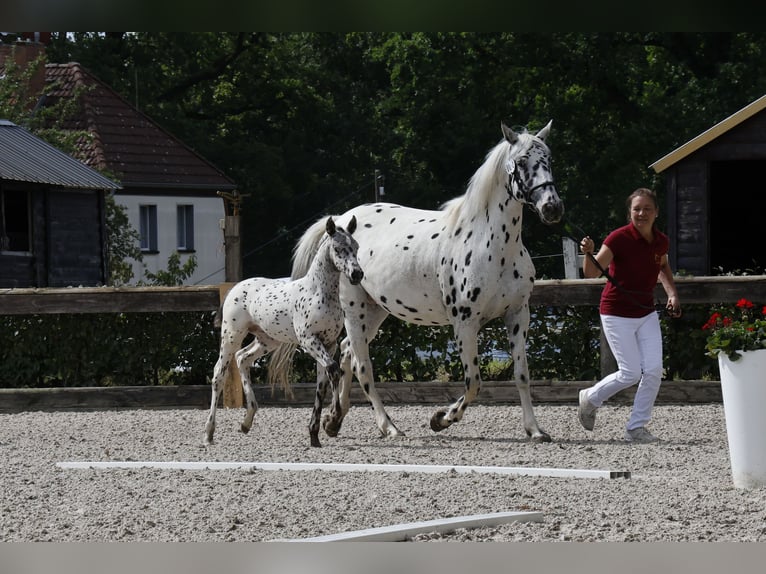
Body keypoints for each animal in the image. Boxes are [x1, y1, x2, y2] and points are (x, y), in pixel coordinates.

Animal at [202, 216, 362, 450]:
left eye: (356, 247)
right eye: (338, 248)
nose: (357, 274)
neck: (319, 293)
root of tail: (234, 288)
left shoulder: (329, 343)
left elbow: (322, 383)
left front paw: (315, 434)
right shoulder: (309, 341)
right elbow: (334, 370)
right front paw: (333, 420)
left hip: (267, 340)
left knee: (243, 358)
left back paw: (247, 422)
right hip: (231, 335)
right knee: (218, 375)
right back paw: (209, 433)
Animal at [270, 121, 564, 446]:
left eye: (549, 159)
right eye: (521, 162)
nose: (552, 208)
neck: (493, 245)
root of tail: (339, 222)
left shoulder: (518, 315)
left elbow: (522, 375)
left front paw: (535, 430)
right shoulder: (465, 323)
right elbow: (473, 381)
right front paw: (440, 420)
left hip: (375, 311)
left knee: (347, 353)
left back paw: (334, 420)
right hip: (354, 311)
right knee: (362, 366)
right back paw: (388, 427)